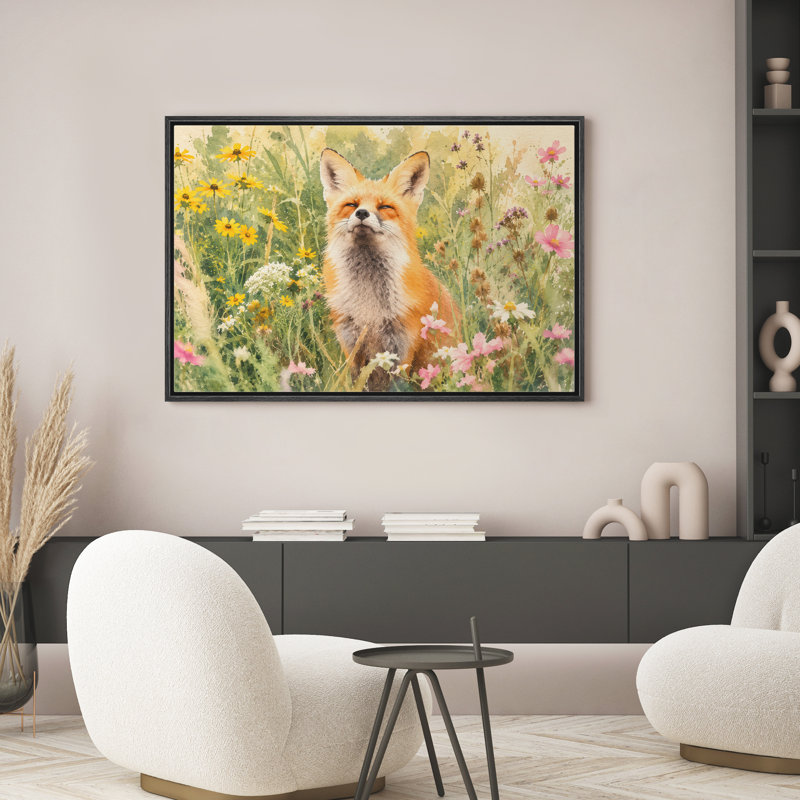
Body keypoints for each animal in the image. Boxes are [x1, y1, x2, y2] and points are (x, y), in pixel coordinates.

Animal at [319, 147, 458, 391]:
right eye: (352, 205)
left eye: (385, 207)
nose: (362, 213)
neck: (369, 307)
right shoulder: (351, 345)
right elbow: (356, 383)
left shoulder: (402, 346)